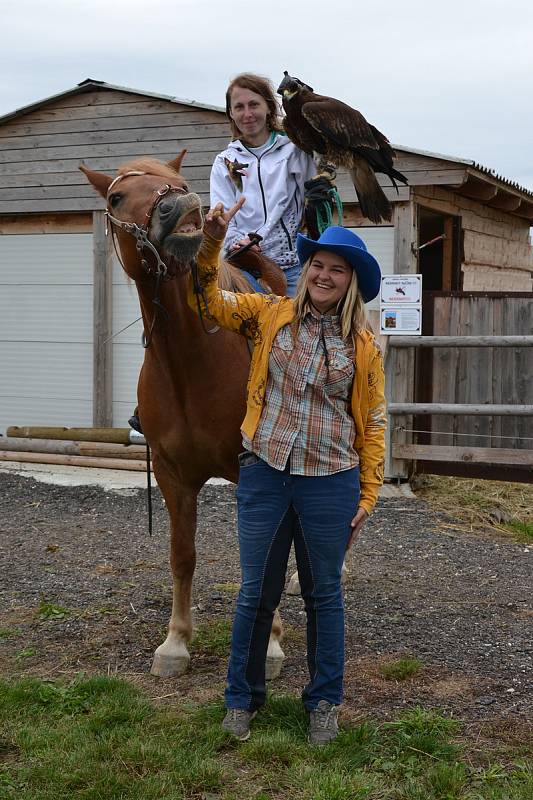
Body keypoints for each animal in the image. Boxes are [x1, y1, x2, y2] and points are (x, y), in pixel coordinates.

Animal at [79, 153, 286, 680]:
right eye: (116, 196)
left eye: (175, 179)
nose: (181, 205)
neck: (192, 359)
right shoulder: (173, 476)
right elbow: (182, 556)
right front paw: (175, 642)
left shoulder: (257, 473)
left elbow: (266, 557)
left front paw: (271, 645)